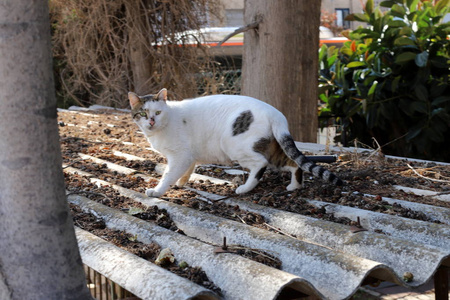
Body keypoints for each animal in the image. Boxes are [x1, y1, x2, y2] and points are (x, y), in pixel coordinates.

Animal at [128, 88, 342, 198]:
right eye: (143, 113)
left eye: (157, 112)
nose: (151, 121)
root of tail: (276, 113)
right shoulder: (189, 157)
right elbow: (187, 171)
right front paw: (182, 182)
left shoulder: (180, 156)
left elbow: (167, 176)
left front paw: (157, 191)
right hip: (272, 148)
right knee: (293, 163)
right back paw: (294, 187)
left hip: (235, 146)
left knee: (261, 164)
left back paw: (245, 188)